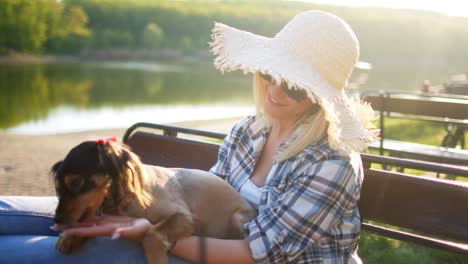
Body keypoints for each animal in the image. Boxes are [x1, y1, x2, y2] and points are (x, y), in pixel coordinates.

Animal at [51, 139, 256, 262]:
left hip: (237, 219)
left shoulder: (184, 216)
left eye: (76, 182)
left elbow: (152, 233)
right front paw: (71, 237)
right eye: (58, 188)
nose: (57, 220)